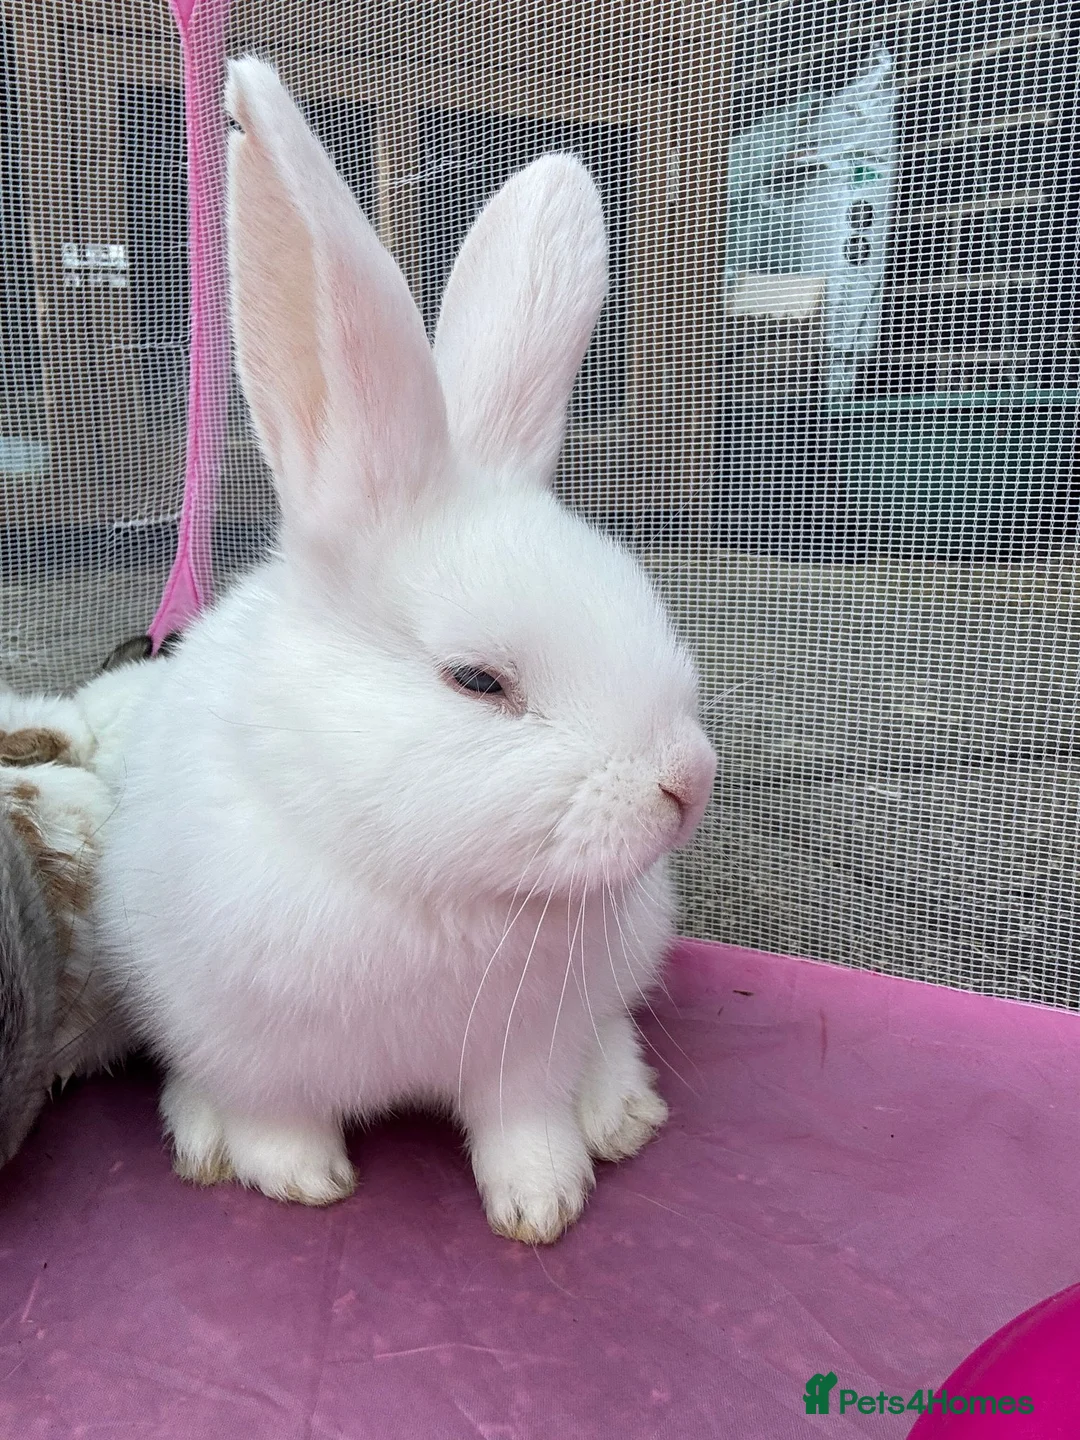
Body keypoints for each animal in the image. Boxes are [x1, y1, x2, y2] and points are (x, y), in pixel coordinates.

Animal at [93, 57, 717, 1244]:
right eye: (478, 681)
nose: (686, 785)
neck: (424, 886)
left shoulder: (531, 1050)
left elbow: (525, 1122)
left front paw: (543, 1200)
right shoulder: (248, 1041)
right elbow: (275, 1115)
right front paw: (296, 1180)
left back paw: (621, 1112)